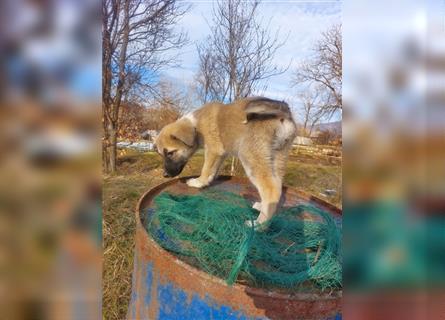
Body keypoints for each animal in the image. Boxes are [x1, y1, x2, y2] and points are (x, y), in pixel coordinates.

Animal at [154, 97, 296, 228]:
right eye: (161, 154)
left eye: (170, 153)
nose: (165, 175)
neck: (196, 125)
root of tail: (283, 111)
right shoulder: (221, 154)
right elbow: (213, 170)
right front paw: (207, 181)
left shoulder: (213, 150)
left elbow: (206, 169)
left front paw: (198, 182)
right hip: (277, 157)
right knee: (277, 186)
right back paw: (262, 207)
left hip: (251, 155)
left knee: (271, 190)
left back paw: (259, 225)